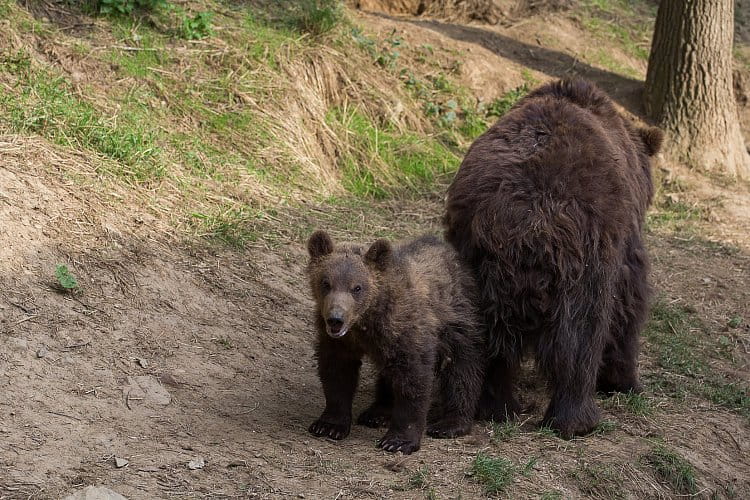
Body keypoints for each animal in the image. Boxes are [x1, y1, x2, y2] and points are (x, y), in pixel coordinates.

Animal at [446, 78, 664, 438]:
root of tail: (523, 218)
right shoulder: (622, 241)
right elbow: (628, 304)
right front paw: (624, 380)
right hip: (582, 259)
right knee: (580, 336)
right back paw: (576, 418)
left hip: (472, 254)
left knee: (482, 333)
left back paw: (495, 405)